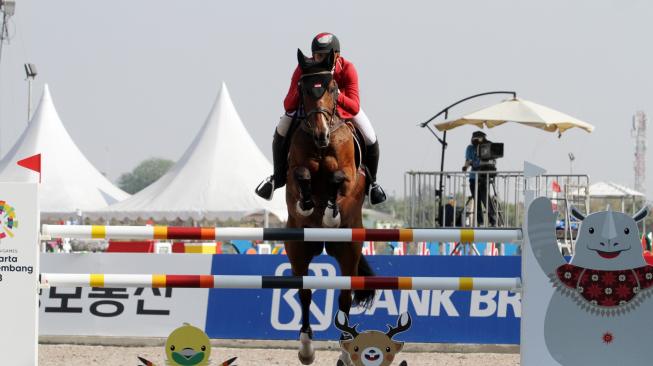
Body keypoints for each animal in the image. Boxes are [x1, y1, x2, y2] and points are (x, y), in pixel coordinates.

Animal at [282, 49, 374, 366]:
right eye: (303, 89)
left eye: (333, 88)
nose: (321, 135)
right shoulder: (293, 173)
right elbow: (301, 176)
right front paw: (308, 205)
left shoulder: (352, 176)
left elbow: (339, 178)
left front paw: (331, 214)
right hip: (299, 248)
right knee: (305, 293)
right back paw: (306, 348)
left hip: (348, 250)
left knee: (345, 298)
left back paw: (346, 350)